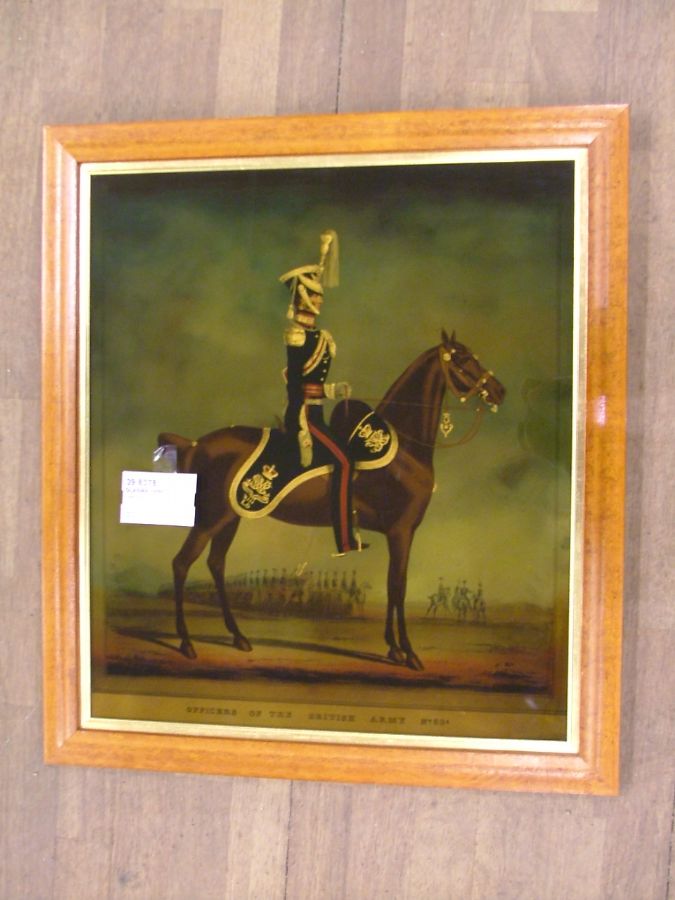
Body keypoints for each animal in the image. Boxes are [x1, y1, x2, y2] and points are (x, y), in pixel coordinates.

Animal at [158, 329, 505, 670]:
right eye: (462, 359)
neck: (402, 449)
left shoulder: (398, 534)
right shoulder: (401, 532)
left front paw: (393, 647)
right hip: (209, 518)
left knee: (216, 564)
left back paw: (238, 636)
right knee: (181, 564)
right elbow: (399, 587)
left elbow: (392, 586)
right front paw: (408, 651)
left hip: (231, 517)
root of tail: (195, 443)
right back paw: (186, 642)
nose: (498, 390)